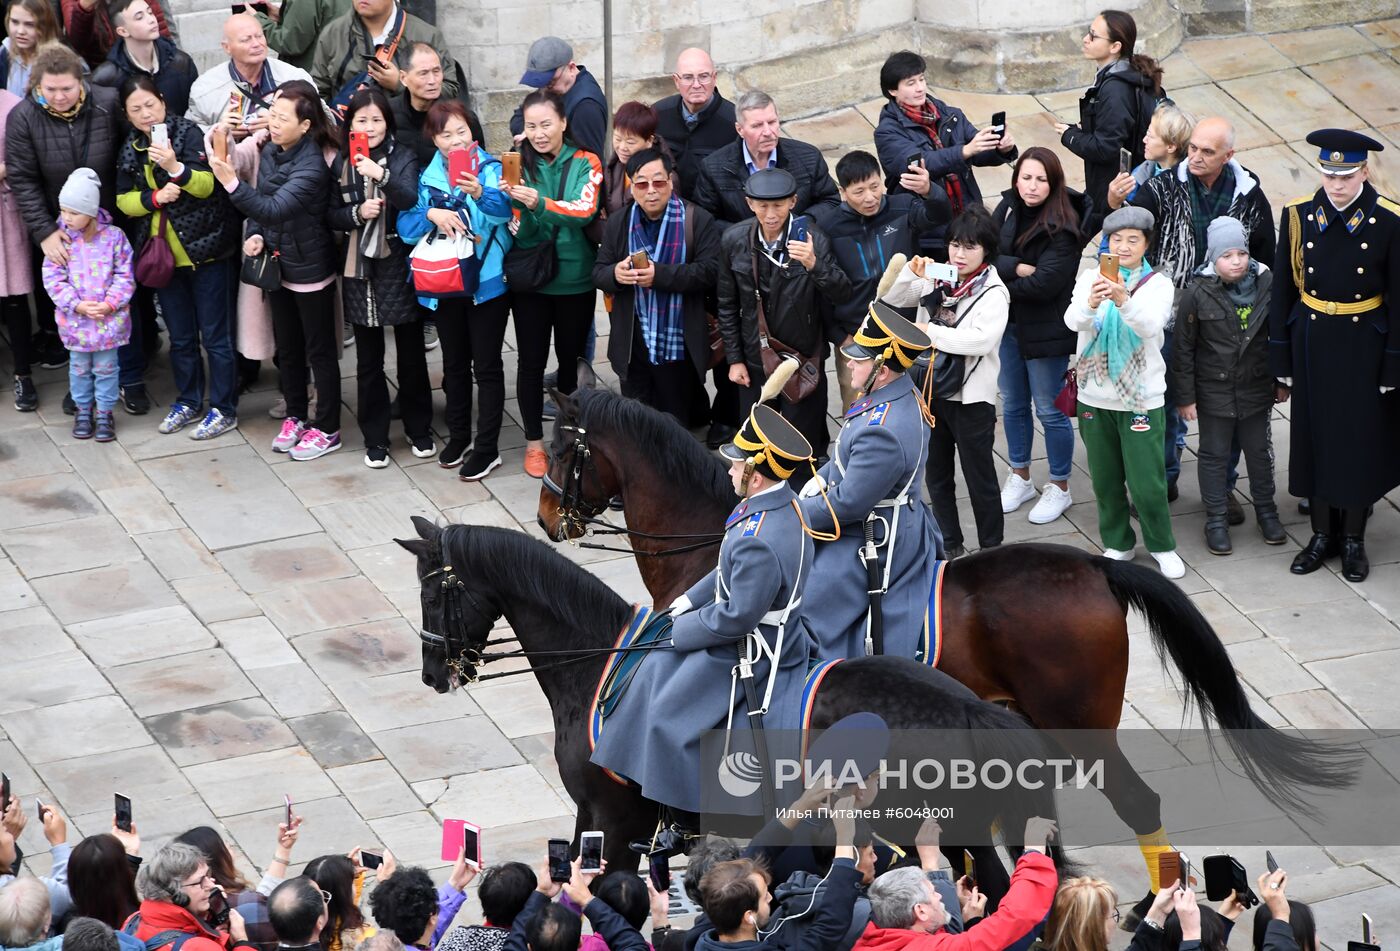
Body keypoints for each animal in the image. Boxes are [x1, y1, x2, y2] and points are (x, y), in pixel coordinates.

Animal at [400, 518, 1075, 896]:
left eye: (433, 592)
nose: (432, 674)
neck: (594, 663)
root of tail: (969, 708)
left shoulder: (611, 818)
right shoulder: (611, 820)